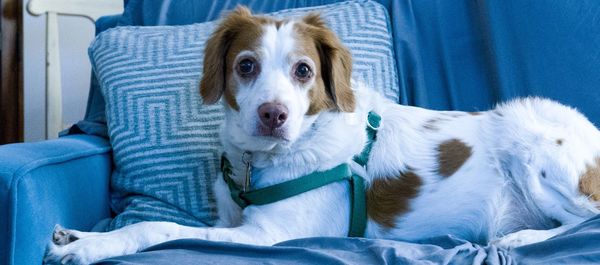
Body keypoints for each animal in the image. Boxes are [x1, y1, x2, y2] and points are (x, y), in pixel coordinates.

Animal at [44, 6, 600, 264]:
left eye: (304, 71)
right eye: (246, 65)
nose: (273, 114)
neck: (262, 160)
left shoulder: (266, 236)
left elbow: (157, 228)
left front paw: (90, 248)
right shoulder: (228, 218)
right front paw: (83, 235)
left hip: (531, 142)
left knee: (585, 224)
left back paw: (522, 237)